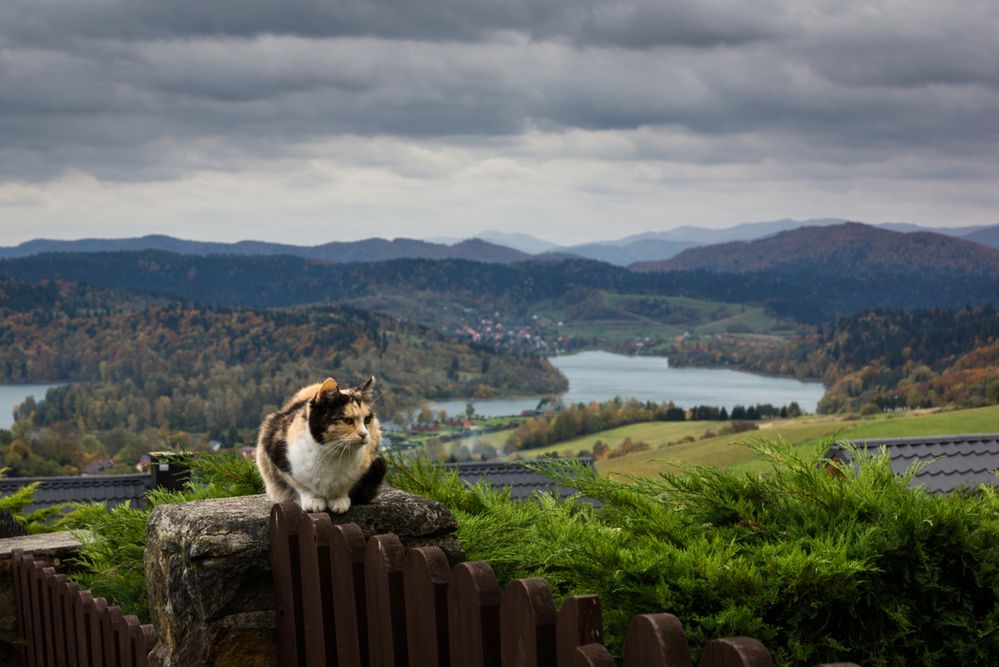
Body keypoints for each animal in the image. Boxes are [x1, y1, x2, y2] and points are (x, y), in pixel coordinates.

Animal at [256, 378, 384, 516]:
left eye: (367, 420)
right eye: (347, 421)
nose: (364, 434)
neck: (333, 454)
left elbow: (344, 486)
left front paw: (339, 501)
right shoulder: (275, 450)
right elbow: (300, 485)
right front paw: (313, 501)